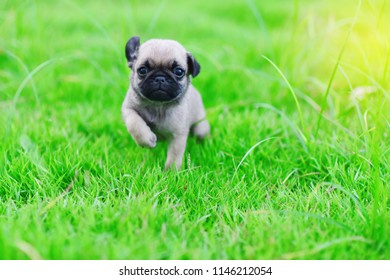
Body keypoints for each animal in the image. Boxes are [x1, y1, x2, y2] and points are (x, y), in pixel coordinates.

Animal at [122, 36, 210, 170]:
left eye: (179, 72)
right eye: (142, 70)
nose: (160, 78)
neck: (158, 105)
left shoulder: (177, 136)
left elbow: (174, 157)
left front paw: (170, 172)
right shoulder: (128, 108)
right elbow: (134, 123)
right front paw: (146, 140)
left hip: (201, 126)